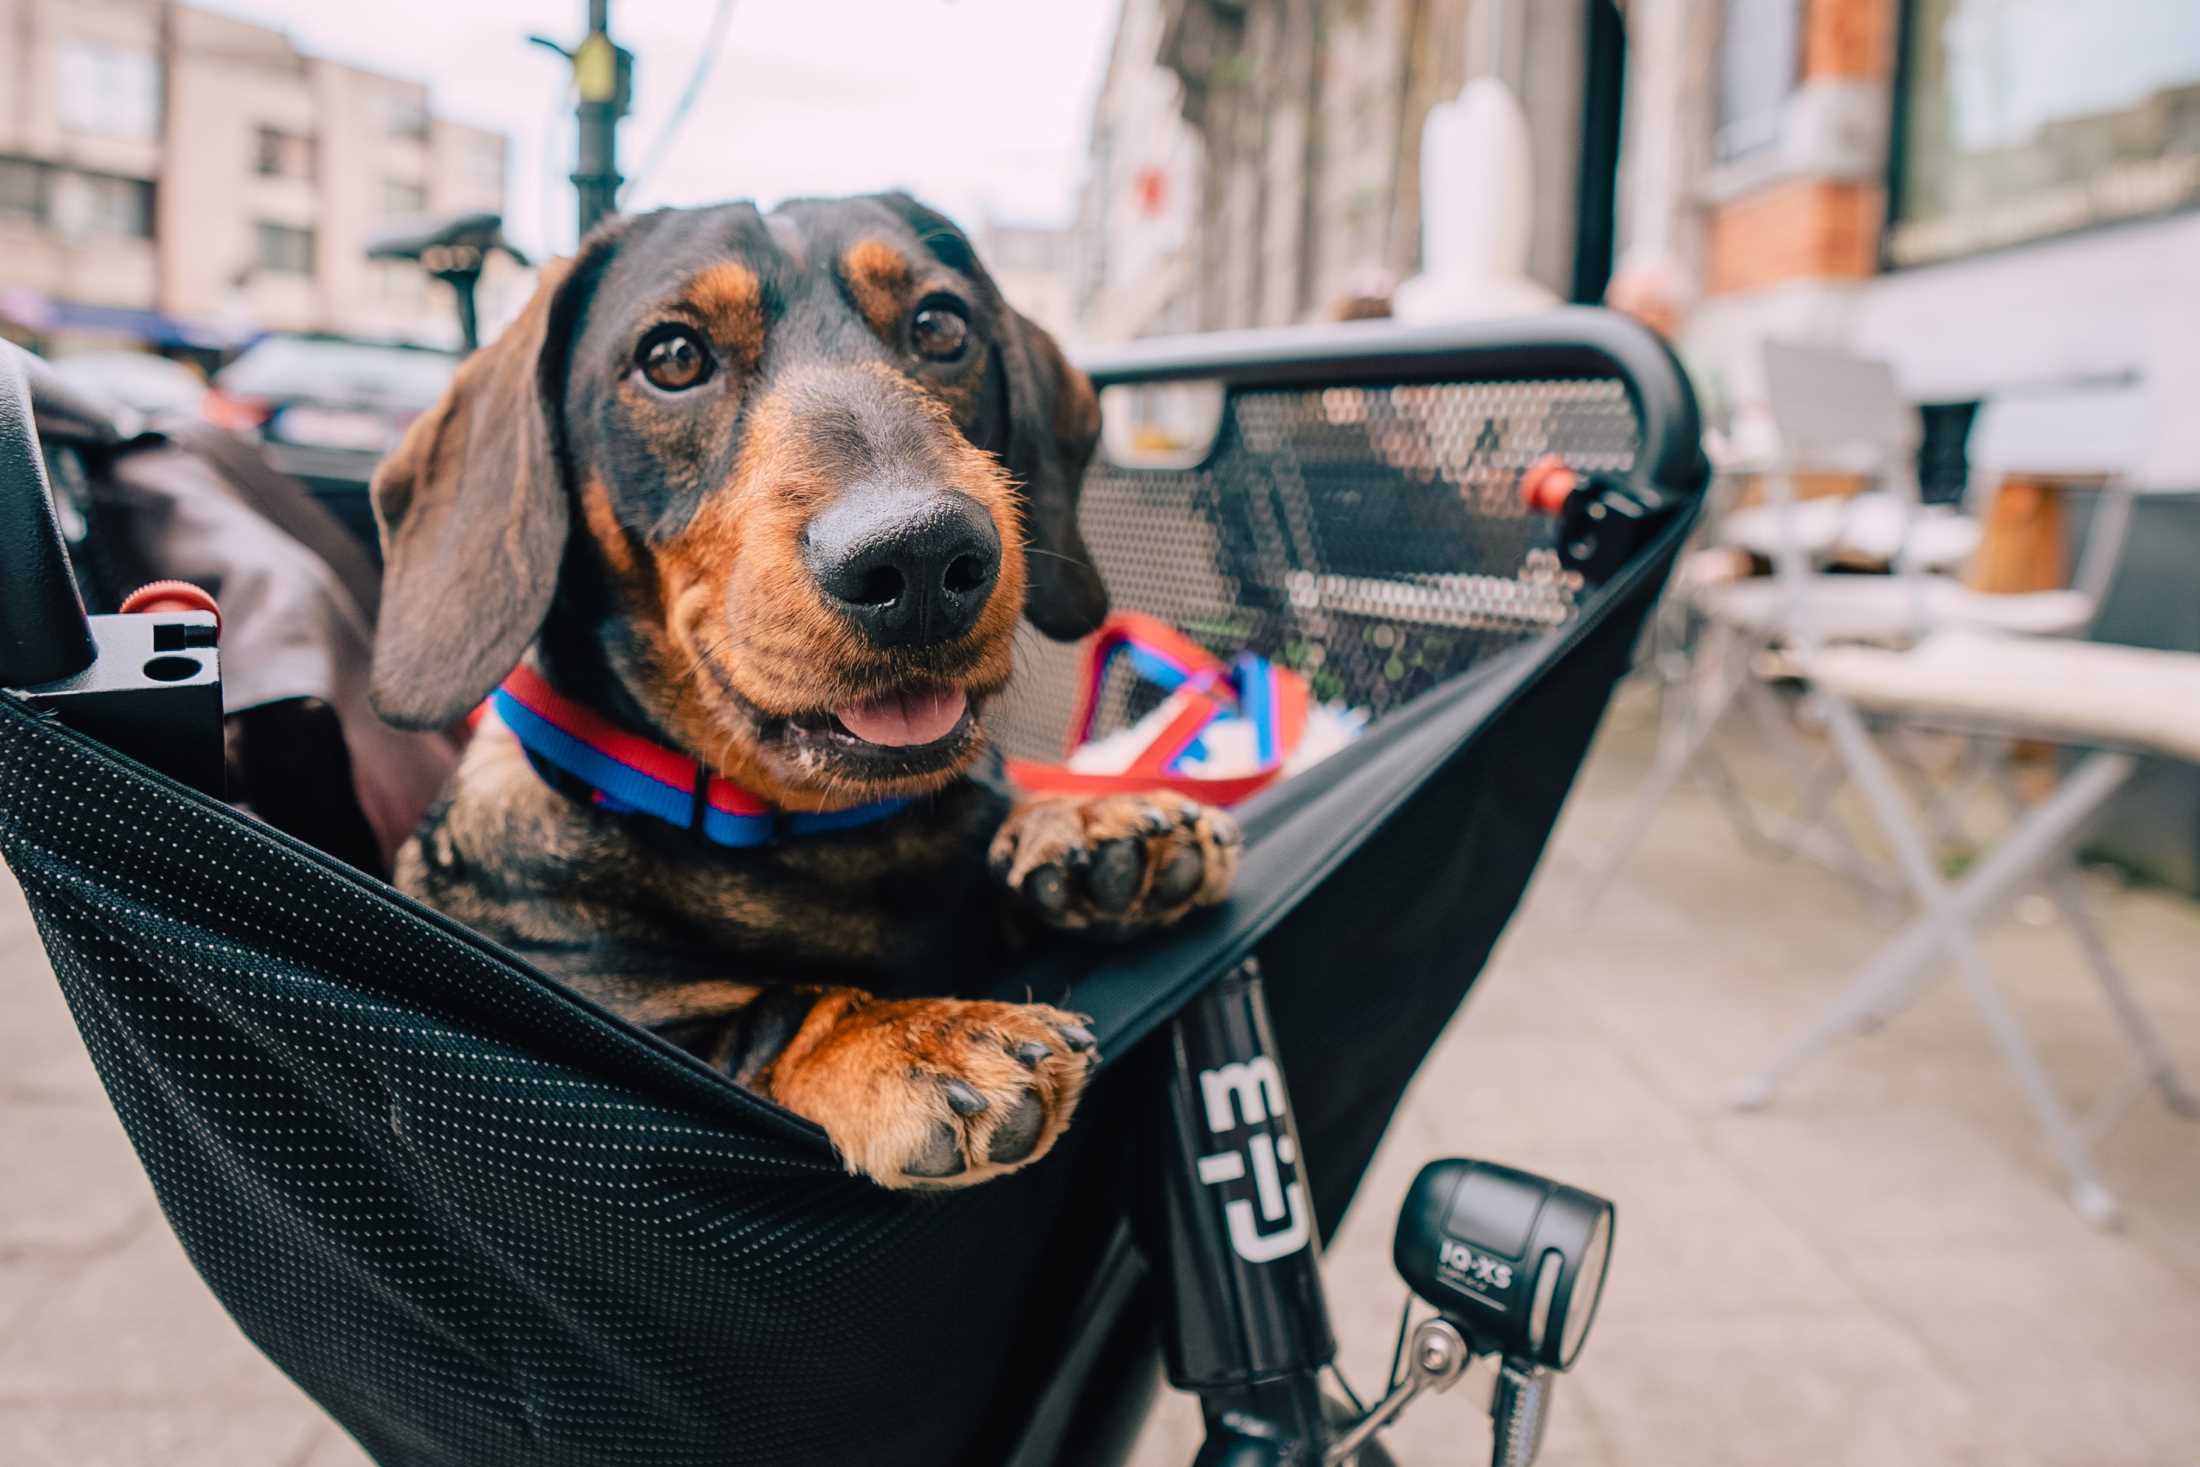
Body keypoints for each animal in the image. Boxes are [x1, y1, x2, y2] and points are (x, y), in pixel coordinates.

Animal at [371, 189, 1249, 1187]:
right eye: (673, 357)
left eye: (940, 325)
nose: (920, 555)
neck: (813, 833)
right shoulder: (597, 1013)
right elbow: (772, 1010)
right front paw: (910, 1037)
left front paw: (1089, 823)